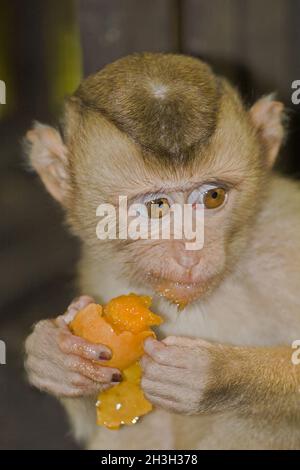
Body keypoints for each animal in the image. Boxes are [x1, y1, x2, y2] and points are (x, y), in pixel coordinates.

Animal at [24, 53, 300, 450]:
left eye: (213, 196)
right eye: (156, 206)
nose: (190, 255)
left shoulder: (286, 242)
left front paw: (217, 375)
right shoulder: (99, 270)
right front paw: (54, 356)